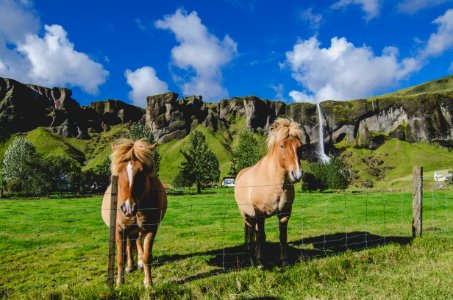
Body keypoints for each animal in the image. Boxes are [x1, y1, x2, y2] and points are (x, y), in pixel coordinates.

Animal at [101, 139, 167, 288]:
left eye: (142, 171)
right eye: (119, 171)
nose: (128, 208)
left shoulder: (151, 229)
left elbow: (147, 256)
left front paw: (148, 283)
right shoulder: (119, 230)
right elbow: (121, 257)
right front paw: (119, 283)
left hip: (137, 230)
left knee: (137, 242)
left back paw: (139, 263)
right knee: (129, 245)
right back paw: (130, 266)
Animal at [233, 118, 304, 268]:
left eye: (300, 147)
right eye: (282, 146)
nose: (297, 174)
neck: (274, 183)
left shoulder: (284, 214)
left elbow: (282, 236)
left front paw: (284, 261)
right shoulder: (260, 213)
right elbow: (261, 236)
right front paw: (260, 262)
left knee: (253, 231)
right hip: (246, 214)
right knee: (250, 232)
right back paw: (251, 254)